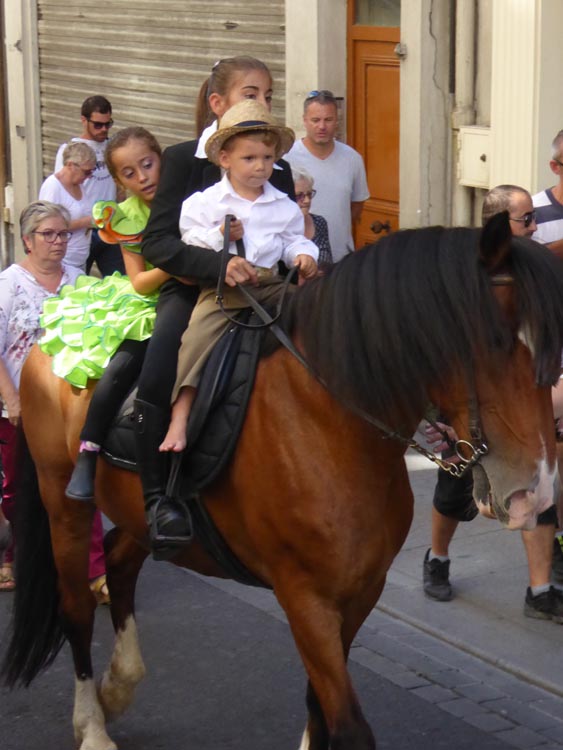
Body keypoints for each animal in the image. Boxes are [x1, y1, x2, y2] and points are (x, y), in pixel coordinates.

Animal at [3, 219, 563, 750]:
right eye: (495, 341)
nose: (534, 493)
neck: (326, 417)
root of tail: (55, 319)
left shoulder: (360, 591)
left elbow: (319, 708)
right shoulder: (305, 596)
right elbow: (348, 727)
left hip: (134, 514)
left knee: (120, 563)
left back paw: (119, 684)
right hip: (63, 503)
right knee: (75, 605)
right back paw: (93, 724)